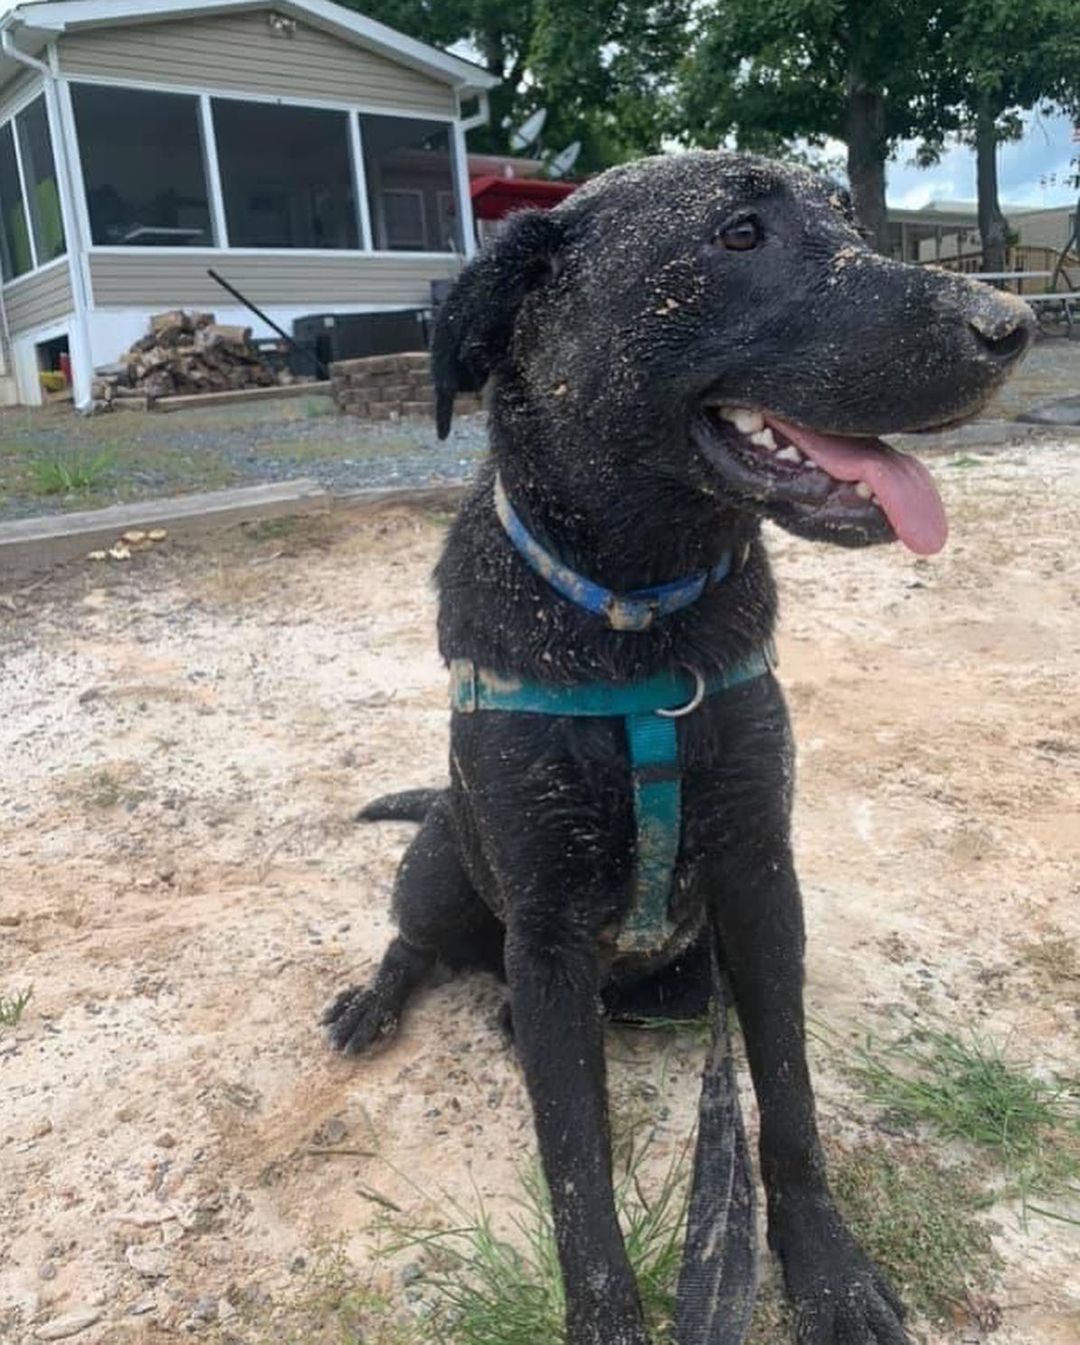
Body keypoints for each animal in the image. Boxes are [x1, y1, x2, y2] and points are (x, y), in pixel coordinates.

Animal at [325, 152, 1032, 1339]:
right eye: (737, 234)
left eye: (850, 221)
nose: (1013, 321)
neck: (640, 624)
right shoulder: (549, 935)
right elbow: (577, 1174)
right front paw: (608, 1317)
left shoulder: (759, 885)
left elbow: (786, 1099)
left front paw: (826, 1271)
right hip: (438, 872)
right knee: (414, 938)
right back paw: (376, 996)